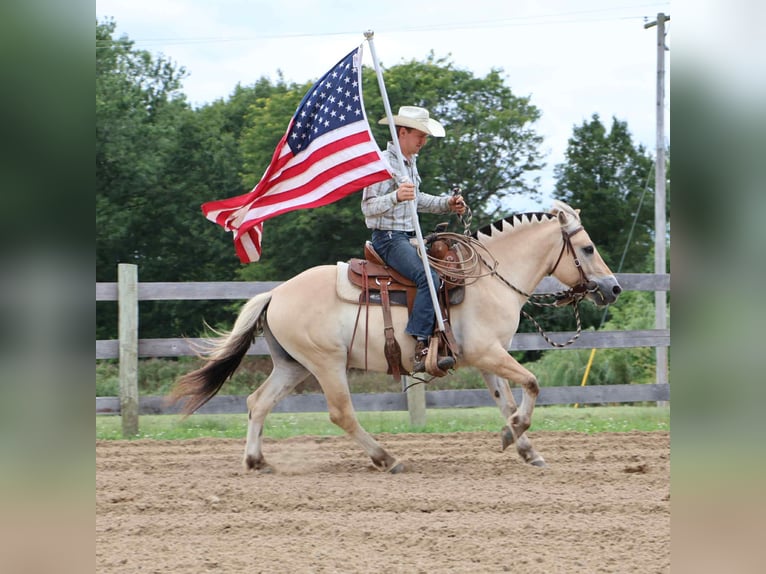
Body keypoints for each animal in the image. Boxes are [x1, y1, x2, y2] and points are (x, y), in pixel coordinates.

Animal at [169, 200, 621, 473]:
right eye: (586, 248)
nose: (613, 287)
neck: (489, 279)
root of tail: (275, 294)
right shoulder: (488, 352)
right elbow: (532, 383)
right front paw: (515, 434)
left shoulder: (486, 357)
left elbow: (506, 400)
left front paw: (521, 445)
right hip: (327, 365)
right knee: (341, 414)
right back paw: (387, 458)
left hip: (292, 366)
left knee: (257, 403)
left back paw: (256, 461)